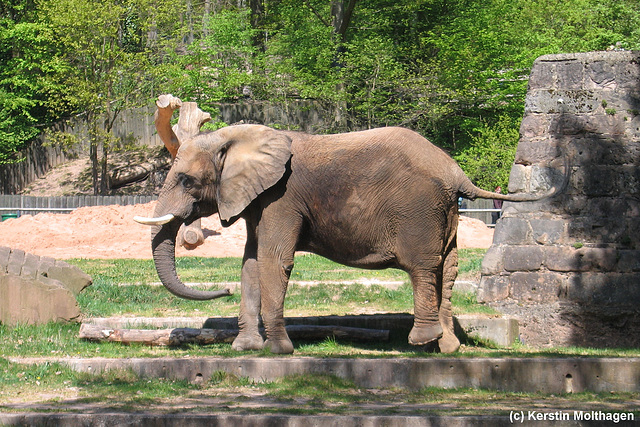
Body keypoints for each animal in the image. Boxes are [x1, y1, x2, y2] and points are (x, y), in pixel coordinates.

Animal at [136, 94, 556, 354]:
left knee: (423, 267)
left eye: (186, 180)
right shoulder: (259, 199)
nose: (220, 291)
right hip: (446, 213)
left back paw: (421, 341)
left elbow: (274, 261)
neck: (236, 137)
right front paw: (246, 349)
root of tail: (457, 173)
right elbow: (251, 263)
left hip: (419, 210)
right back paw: (448, 347)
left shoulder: (281, 198)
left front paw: (278, 350)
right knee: (448, 269)